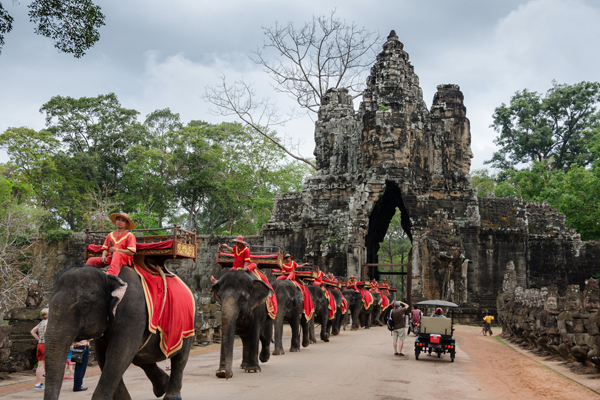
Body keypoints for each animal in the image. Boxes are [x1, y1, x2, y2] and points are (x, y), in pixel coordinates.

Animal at [42, 266, 192, 400]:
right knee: (140, 358)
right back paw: (162, 386)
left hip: (187, 329)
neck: (106, 273)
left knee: (179, 359)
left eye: (84, 304)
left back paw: (171, 396)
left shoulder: (133, 312)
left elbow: (118, 354)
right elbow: (106, 356)